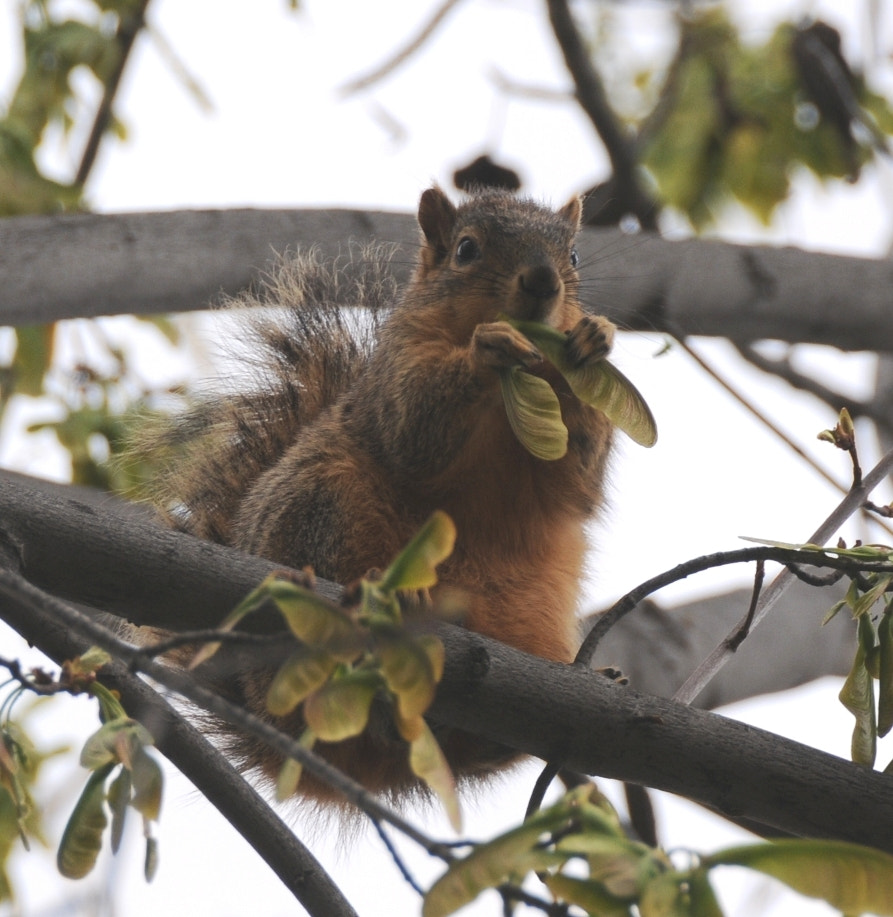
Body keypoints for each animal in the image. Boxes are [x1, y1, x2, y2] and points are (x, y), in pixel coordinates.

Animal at [143, 186, 615, 807]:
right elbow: (415, 429)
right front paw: (486, 350)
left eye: (576, 257)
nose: (542, 281)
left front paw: (591, 340)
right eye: (466, 249)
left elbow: (576, 482)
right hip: (323, 505)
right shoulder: (394, 378)